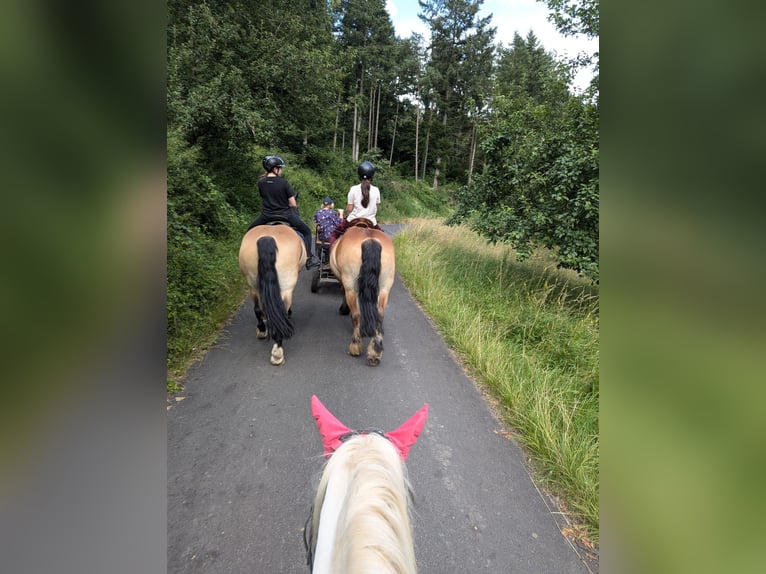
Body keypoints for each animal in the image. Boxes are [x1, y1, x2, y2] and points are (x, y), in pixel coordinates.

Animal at [238, 224, 308, 364]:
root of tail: (268, 237)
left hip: (253, 285)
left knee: (257, 308)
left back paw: (262, 330)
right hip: (286, 287)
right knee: (282, 311)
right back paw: (277, 352)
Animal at [330, 223, 396, 366]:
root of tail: (370, 240)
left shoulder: (347, 285)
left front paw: (344, 309)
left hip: (351, 287)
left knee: (357, 315)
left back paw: (355, 347)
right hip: (384, 288)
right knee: (380, 315)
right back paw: (375, 352)